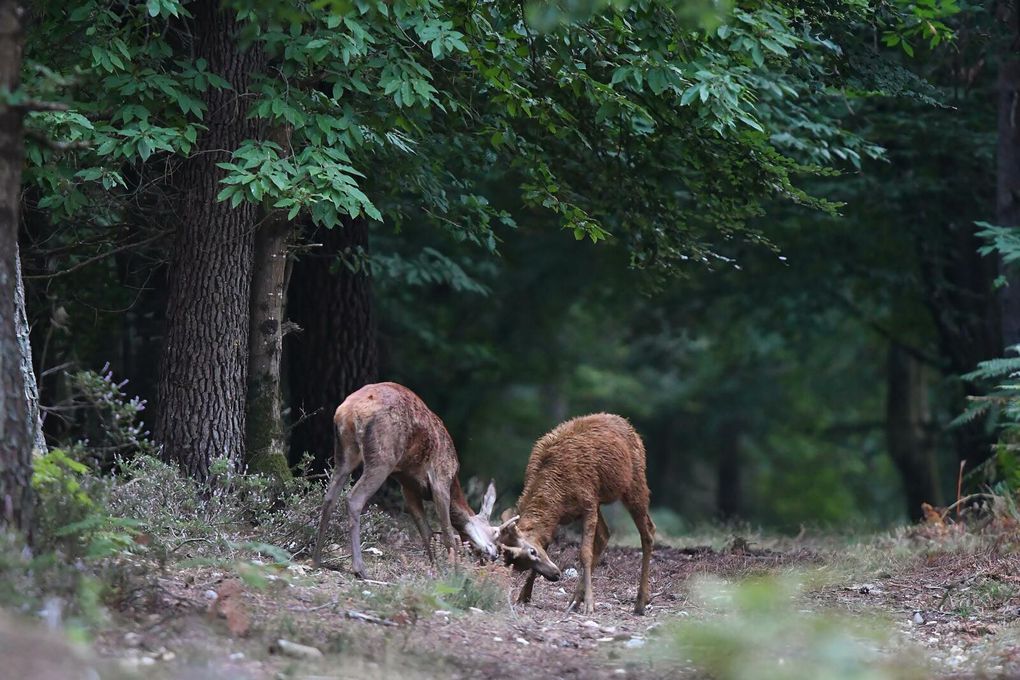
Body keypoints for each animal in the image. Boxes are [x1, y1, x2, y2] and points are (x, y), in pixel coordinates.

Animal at [306, 383, 505, 579]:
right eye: (494, 532)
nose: (494, 555)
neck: (454, 480)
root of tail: (347, 410)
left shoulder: (408, 488)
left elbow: (426, 532)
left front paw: (436, 569)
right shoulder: (440, 480)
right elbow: (447, 533)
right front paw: (454, 575)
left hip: (344, 453)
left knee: (329, 498)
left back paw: (315, 561)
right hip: (382, 456)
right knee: (354, 499)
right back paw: (360, 569)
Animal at [499, 415, 656, 615]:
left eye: (532, 551)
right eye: (520, 564)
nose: (555, 575)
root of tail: (628, 425)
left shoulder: (588, 502)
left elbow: (584, 553)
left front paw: (590, 604)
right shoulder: (563, 514)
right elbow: (548, 542)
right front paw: (524, 595)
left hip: (635, 482)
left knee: (648, 531)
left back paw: (640, 602)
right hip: (600, 499)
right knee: (605, 535)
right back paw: (575, 600)